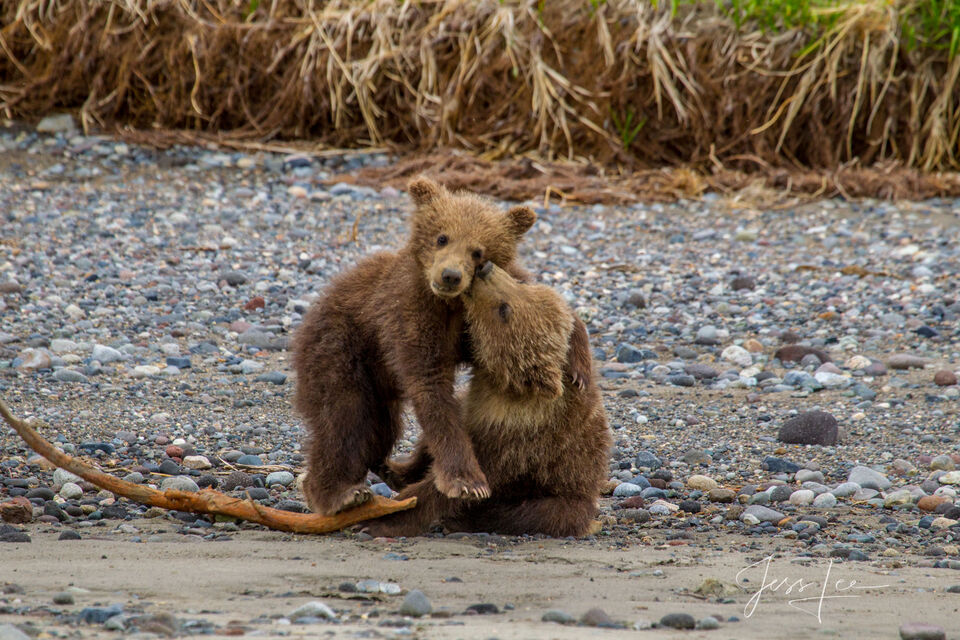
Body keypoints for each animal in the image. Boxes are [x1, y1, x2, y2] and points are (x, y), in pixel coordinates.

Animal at [291, 177, 593, 516]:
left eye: (477, 251)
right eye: (442, 237)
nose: (450, 275)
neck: (450, 304)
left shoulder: (477, 317)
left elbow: (542, 300)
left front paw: (578, 367)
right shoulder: (409, 314)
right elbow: (431, 388)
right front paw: (467, 482)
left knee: (380, 431)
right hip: (340, 346)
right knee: (345, 416)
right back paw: (339, 492)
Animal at [363, 262, 611, 538]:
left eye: (504, 309)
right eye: (521, 284)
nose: (485, 268)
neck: (502, 386)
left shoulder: (516, 443)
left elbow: (458, 486)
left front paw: (385, 518)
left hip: (563, 494)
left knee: (532, 513)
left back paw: (465, 519)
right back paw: (392, 468)